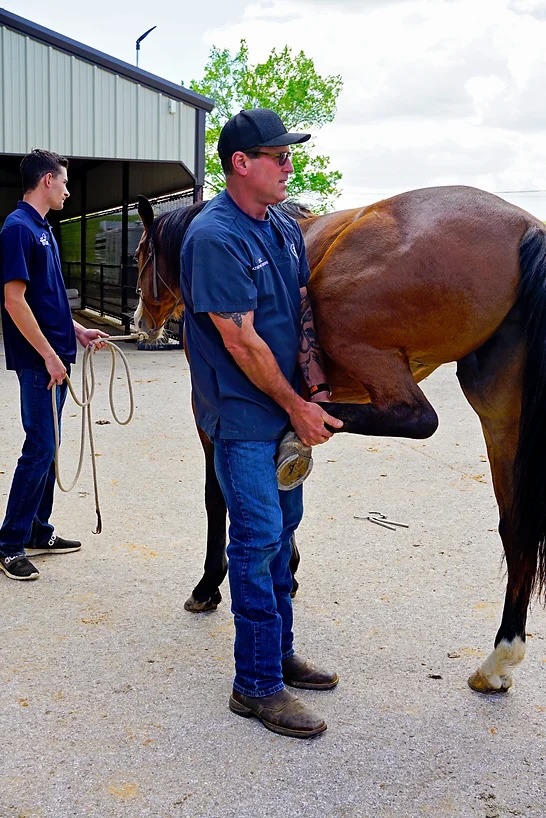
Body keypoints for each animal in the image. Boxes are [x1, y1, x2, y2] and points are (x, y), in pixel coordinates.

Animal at [134, 186, 544, 696]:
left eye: (140, 255)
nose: (141, 320)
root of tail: (525, 227)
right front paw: (287, 567)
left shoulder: (209, 414)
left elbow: (218, 496)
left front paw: (209, 585)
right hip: (501, 416)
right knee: (517, 527)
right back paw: (499, 659)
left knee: (416, 417)